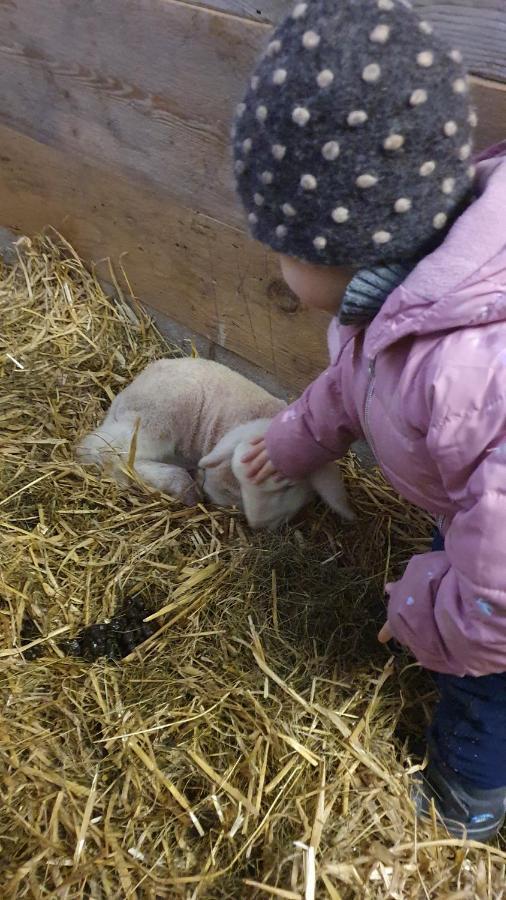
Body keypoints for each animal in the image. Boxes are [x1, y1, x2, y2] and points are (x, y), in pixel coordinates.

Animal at [77, 356, 354, 532]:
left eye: (288, 485)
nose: (259, 525)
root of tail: (122, 398)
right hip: (160, 418)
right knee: (105, 451)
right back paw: (181, 486)